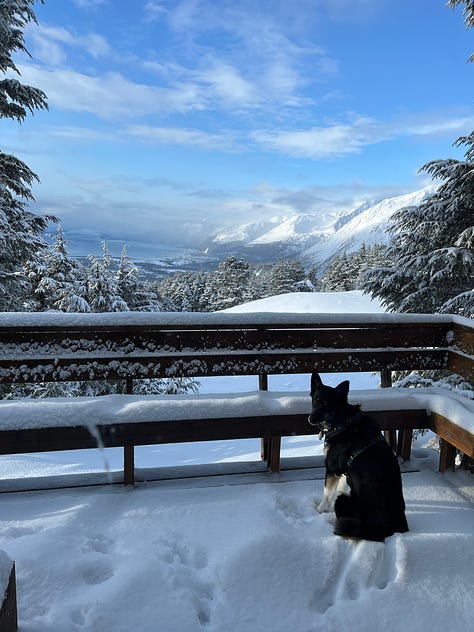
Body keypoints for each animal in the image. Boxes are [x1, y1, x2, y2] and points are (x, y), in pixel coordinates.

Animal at [310, 370, 410, 544]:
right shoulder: (344, 472)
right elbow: (340, 488)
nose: (310, 419)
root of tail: (383, 527)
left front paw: (320, 510)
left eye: (326, 405)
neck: (342, 421)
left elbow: (327, 494)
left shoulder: (331, 469)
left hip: (344, 503)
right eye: (315, 402)